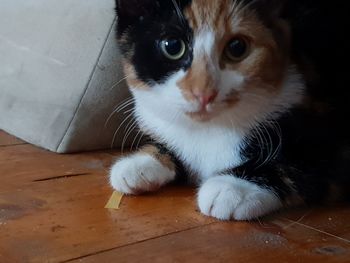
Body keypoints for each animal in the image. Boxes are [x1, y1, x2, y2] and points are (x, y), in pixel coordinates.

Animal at [108, 0, 348, 222]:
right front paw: (140, 163)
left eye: (237, 47)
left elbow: (297, 166)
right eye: (172, 46)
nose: (203, 92)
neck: (208, 129)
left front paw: (233, 188)